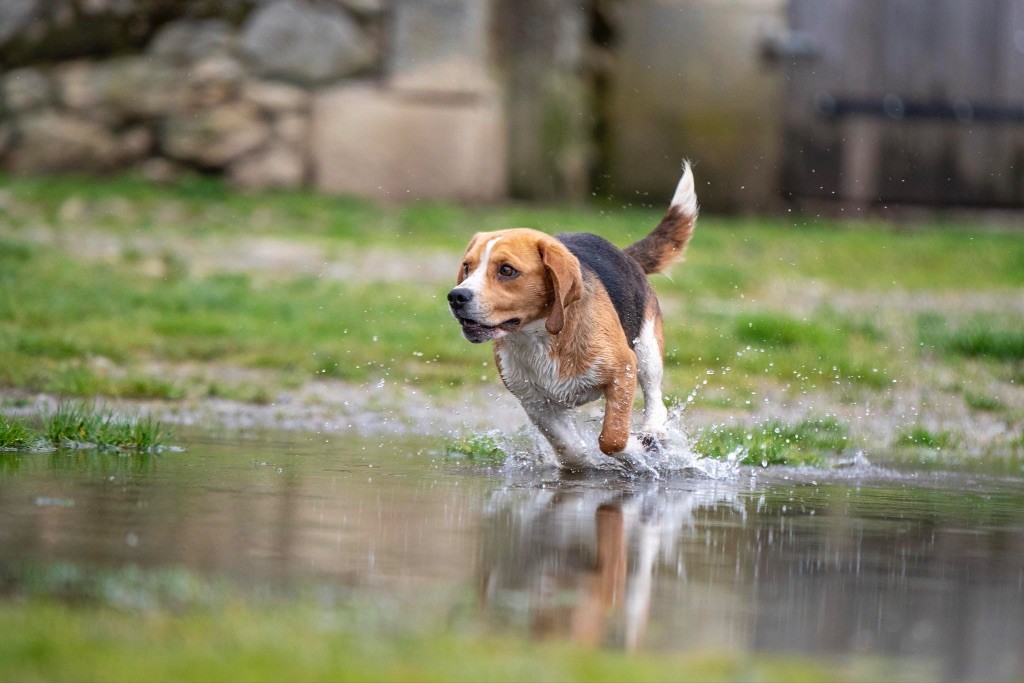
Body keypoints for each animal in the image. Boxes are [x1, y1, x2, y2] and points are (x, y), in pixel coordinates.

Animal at [448, 163, 696, 471]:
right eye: (467, 267)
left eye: (507, 270)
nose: (456, 296)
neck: (539, 336)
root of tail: (625, 255)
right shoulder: (536, 402)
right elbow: (570, 450)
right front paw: (585, 463)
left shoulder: (623, 369)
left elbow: (612, 438)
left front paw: (635, 449)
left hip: (647, 349)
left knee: (655, 400)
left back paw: (653, 431)